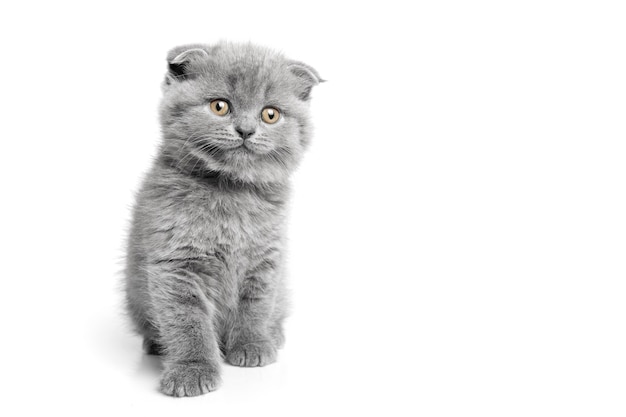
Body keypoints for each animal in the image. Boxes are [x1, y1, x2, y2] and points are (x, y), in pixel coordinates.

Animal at [125, 42, 324, 396]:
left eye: (270, 114)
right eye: (220, 106)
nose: (246, 130)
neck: (233, 193)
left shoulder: (266, 259)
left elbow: (256, 304)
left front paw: (252, 345)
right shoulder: (176, 263)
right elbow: (186, 320)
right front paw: (192, 370)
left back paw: (274, 335)